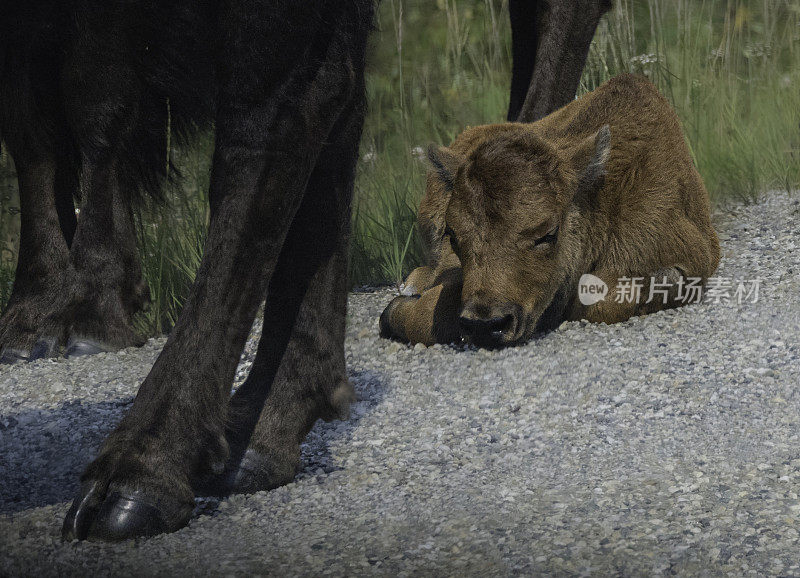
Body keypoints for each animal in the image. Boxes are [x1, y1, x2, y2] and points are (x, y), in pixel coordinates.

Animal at [378, 73, 720, 344]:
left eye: (548, 233)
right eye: (453, 235)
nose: (487, 325)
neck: (602, 195)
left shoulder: (691, 256)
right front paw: (398, 309)